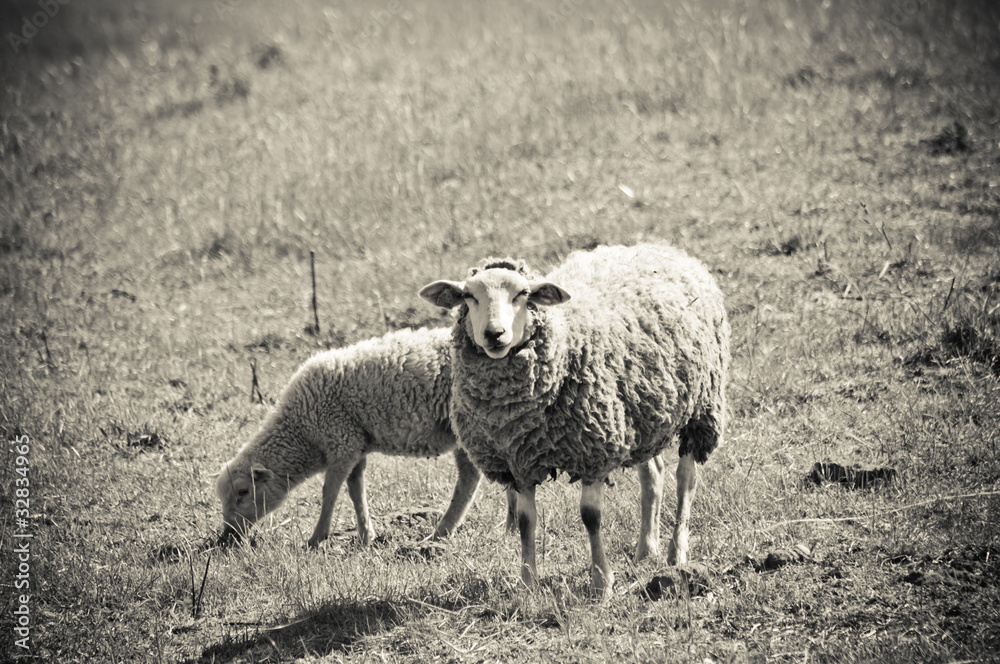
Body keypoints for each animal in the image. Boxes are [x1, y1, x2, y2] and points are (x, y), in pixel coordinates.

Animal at [215, 326, 483, 548]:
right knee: (472, 477)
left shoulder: (341, 441)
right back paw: (451, 531)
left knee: (469, 479)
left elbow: (329, 492)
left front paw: (317, 538)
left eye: (243, 492)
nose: (227, 536)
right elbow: (356, 491)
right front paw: (366, 536)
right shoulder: (355, 445)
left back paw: (441, 533)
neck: (302, 432)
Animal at [419, 244, 729, 597]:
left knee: (685, 480)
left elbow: (590, 517)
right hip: (641, 414)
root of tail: (660, 246)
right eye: (468, 296)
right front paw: (528, 583)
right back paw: (645, 550)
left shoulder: (593, 450)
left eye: (523, 294)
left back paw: (676, 555)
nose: (494, 334)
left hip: (701, 408)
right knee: (653, 475)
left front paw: (601, 582)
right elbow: (525, 521)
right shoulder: (518, 462)